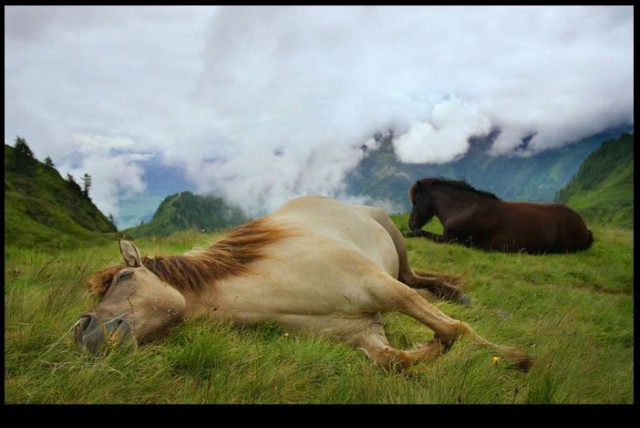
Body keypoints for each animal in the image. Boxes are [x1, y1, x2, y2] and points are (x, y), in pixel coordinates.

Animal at [75, 195, 532, 372]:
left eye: (126, 275)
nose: (83, 329)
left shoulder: (384, 289)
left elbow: (456, 330)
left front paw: (517, 357)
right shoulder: (364, 333)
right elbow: (397, 360)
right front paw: (424, 345)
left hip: (397, 249)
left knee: (416, 279)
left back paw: (462, 296)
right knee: (421, 287)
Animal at [407, 178, 594, 254]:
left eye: (417, 200)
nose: (411, 223)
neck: (464, 208)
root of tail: (584, 227)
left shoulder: (453, 240)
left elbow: (420, 233)